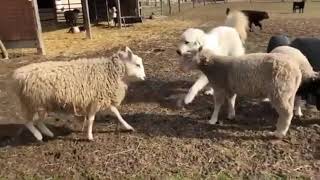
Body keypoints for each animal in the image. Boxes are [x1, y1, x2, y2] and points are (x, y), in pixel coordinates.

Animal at [12, 47, 146, 141]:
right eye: (137, 64)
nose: (145, 77)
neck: (111, 72)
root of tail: (18, 75)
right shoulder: (96, 100)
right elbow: (92, 119)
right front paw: (90, 136)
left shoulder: (102, 98)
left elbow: (117, 114)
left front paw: (128, 127)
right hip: (33, 102)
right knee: (28, 122)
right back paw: (38, 136)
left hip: (41, 104)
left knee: (38, 121)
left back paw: (47, 133)